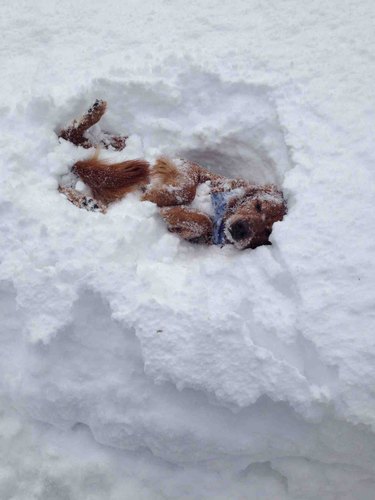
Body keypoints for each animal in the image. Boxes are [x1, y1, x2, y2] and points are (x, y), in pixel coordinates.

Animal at [58, 100, 288, 250]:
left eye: (267, 232)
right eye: (258, 205)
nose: (241, 231)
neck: (217, 209)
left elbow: (200, 220)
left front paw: (168, 213)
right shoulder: (190, 168)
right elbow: (186, 189)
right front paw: (153, 197)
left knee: (68, 183)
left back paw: (88, 201)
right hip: (106, 144)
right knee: (68, 134)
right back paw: (94, 112)